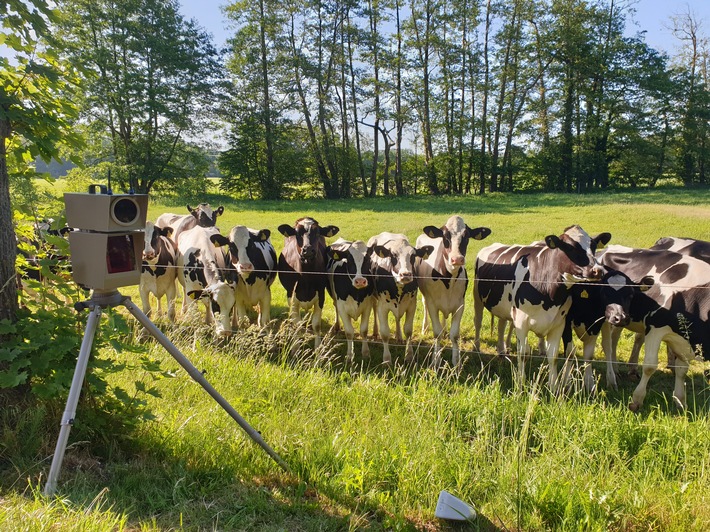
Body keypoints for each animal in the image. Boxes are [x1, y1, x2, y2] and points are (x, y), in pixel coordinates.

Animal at [370, 233, 436, 366]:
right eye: (393, 255)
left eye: (413, 255)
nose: (405, 275)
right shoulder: (382, 307)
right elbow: (385, 333)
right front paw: (387, 359)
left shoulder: (411, 305)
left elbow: (408, 331)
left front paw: (409, 356)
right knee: (374, 309)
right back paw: (375, 332)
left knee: (397, 318)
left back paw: (399, 337)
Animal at [414, 215, 492, 366]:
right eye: (445, 236)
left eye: (466, 236)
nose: (457, 259)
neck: (448, 279)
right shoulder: (432, 304)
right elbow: (437, 333)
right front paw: (435, 360)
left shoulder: (460, 305)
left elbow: (454, 334)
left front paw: (457, 362)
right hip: (425, 296)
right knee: (425, 306)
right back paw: (424, 328)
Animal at [472, 224, 612, 390]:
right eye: (570, 247)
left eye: (594, 246)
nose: (598, 270)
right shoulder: (521, 322)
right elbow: (523, 354)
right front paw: (520, 384)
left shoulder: (559, 323)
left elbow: (554, 356)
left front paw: (554, 387)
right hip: (477, 297)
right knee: (478, 321)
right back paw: (477, 348)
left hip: (504, 307)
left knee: (502, 324)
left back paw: (501, 351)